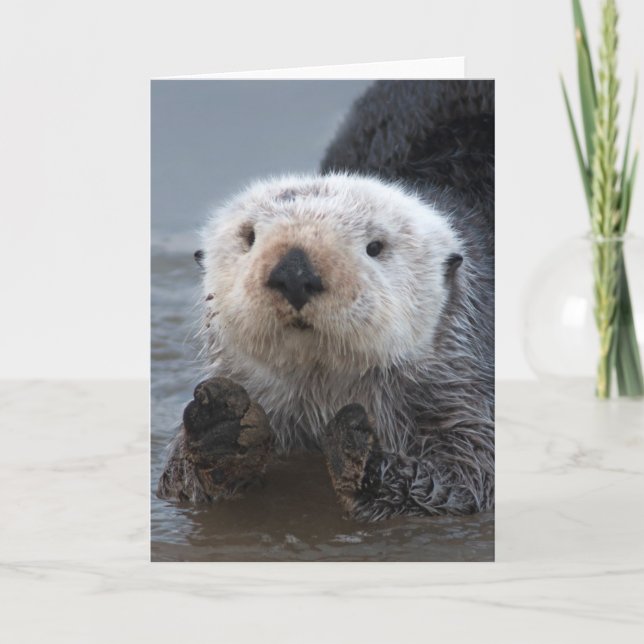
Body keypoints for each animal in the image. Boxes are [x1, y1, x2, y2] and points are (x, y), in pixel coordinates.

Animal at [157, 80, 494, 521]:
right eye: (249, 237)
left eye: (375, 247)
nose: (295, 273)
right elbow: (175, 484)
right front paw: (219, 428)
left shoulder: (464, 389)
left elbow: (469, 478)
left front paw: (358, 454)